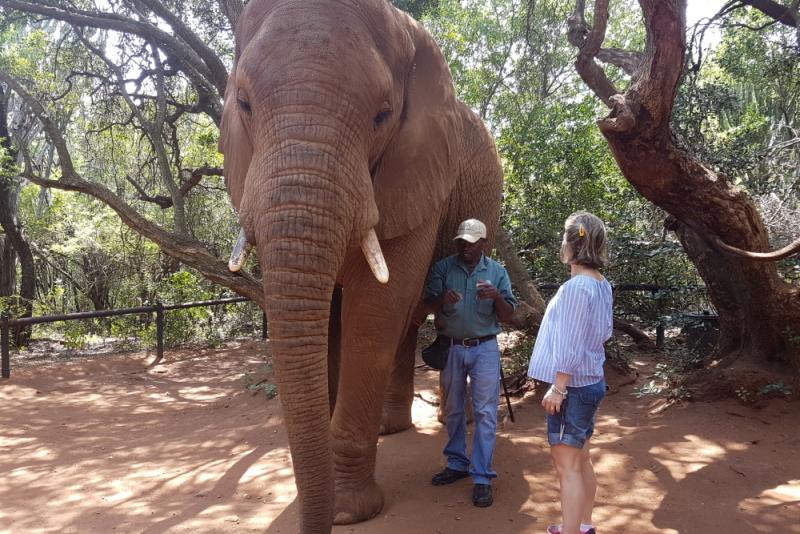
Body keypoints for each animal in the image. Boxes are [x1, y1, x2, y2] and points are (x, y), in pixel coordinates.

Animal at [219, 1, 504, 532]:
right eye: (243, 103)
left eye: (383, 115)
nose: (317, 520)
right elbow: (328, 316)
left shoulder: (417, 174)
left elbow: (374, 314)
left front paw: (349, 512)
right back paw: (392, 429)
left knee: (408, 311)